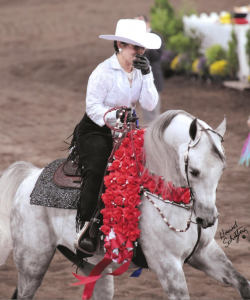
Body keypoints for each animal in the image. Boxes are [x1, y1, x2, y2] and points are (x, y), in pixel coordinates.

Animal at [0, 110, 250, 300]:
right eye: (195, 171)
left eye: (222, 168)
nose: (207, 219)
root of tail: (31, 176)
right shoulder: (168, 266)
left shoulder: (204, 253)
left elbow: (242, 283)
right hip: (32, 263)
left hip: (92, 266)